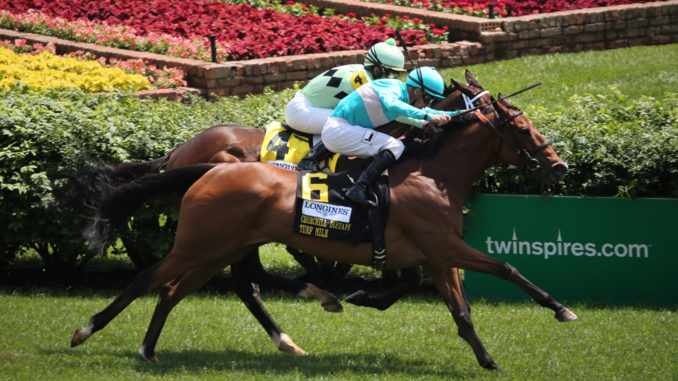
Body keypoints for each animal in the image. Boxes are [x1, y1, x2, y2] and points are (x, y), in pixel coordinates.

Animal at [73, 87, 572, 370]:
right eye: (522, 129)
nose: (559, 166)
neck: (431, 172)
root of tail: (199, 164)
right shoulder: (443, 248)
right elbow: (500, 273)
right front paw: (555, 312)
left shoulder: (428, 254)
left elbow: (460, 299)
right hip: (202, 244)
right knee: (154, 278)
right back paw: (89, 331)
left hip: (221, 247)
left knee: (185, 288)